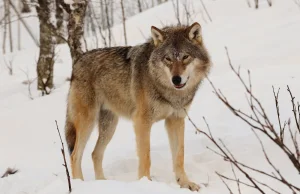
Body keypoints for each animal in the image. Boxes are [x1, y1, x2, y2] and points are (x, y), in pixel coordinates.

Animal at [64, 22, 212, 190]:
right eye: (167, 59)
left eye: (185, 57)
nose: (176, 79)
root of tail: (77, 62)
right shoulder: (142, 121)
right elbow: (146, 156)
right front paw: (146, 183)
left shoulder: (176, 120)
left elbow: (179, 156)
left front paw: (185, 183)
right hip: (87, 123)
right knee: (75, 155)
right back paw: (79, 185)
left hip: (109, 127)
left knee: (95, 154)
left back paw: (103, 183)